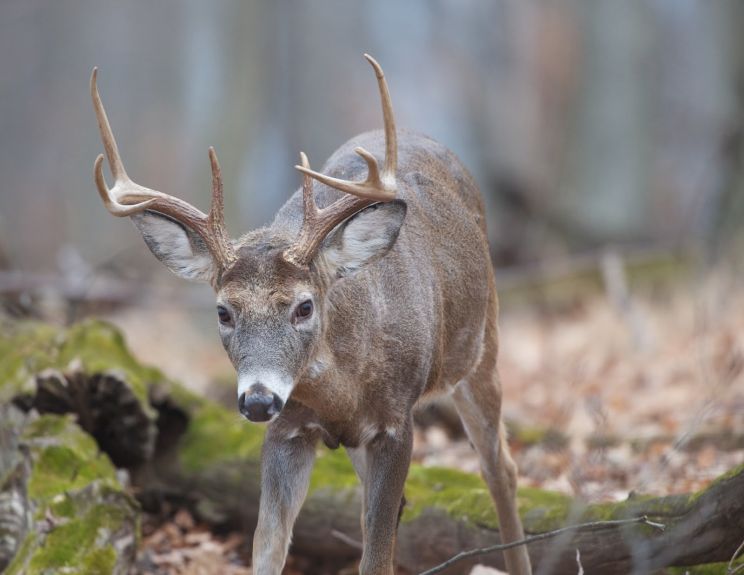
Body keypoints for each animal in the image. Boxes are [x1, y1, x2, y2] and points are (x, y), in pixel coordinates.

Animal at [90, 55, 532, 575]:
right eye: (223, 311)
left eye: (304, 306)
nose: (258, 400)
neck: (342, 390)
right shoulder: (287, 429)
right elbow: (268, 545)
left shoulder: (397, 421)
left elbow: (376, 557)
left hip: (484, 347)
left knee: (499, 467)